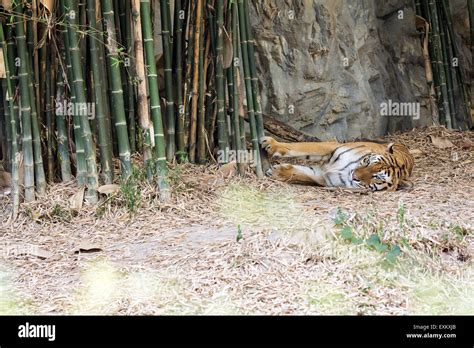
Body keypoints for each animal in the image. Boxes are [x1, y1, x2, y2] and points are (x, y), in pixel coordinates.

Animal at [262, 136, 412, 192]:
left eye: (377, 177)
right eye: (367, 162)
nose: (355, 176)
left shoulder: (323, 177)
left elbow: (302, 173)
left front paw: (275, 171)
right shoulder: (331, 147)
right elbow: (301, 147)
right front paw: (271, 144)